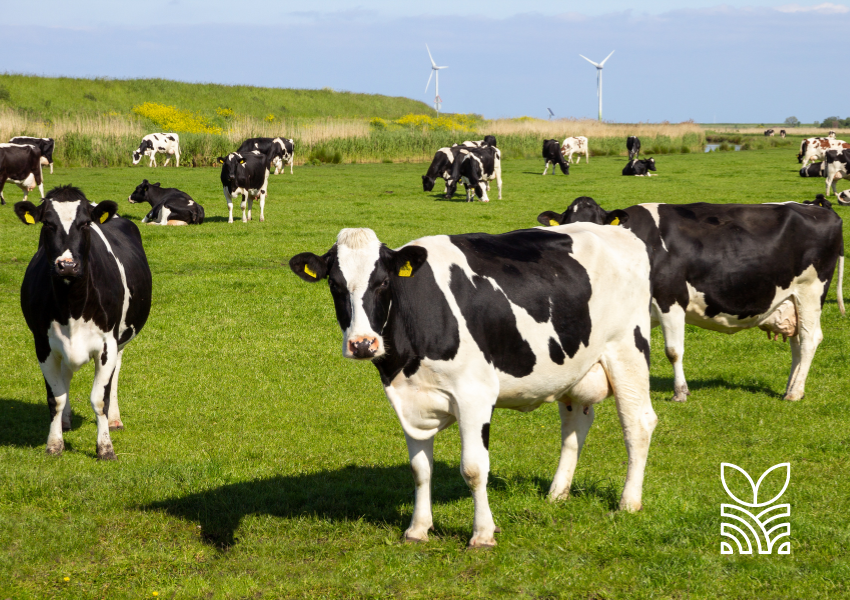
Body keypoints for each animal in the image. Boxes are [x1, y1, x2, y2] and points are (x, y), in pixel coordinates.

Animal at [13, 188, 152, 460]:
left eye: (85, 224)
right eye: (47, 223)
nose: (67, 265)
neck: (72, 306)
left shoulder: (108, 345)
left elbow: (100, 399)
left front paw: (105, 448)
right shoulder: (43, 345)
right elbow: (55, 398)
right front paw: (54, 444)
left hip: (119, 341)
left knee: (115, 375)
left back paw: (114, 420)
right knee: (65, 377)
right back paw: (66, 421)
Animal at [292, 223, 656, 548]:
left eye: (382, 282)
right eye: (335, 285)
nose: (363, 344)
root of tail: (618, 230)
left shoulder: (474, 396)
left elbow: (474, 468)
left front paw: (482, 534)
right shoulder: (409, 399)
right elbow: (420, 469)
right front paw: (417, 529)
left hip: (627, 349)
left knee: (638, 423)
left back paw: (628, 502)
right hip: (574, 368)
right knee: (575, 425)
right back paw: (557, 494)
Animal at [536, 197, 840, 404]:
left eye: (595, 224)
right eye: (567, 223)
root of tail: (819, 208)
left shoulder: (671, 299)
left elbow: (673, 351)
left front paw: (680, 393)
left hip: (812, 290)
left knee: (810, 338)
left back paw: (795, 392)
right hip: (791, 299)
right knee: (797, 343)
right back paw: (792, 386)